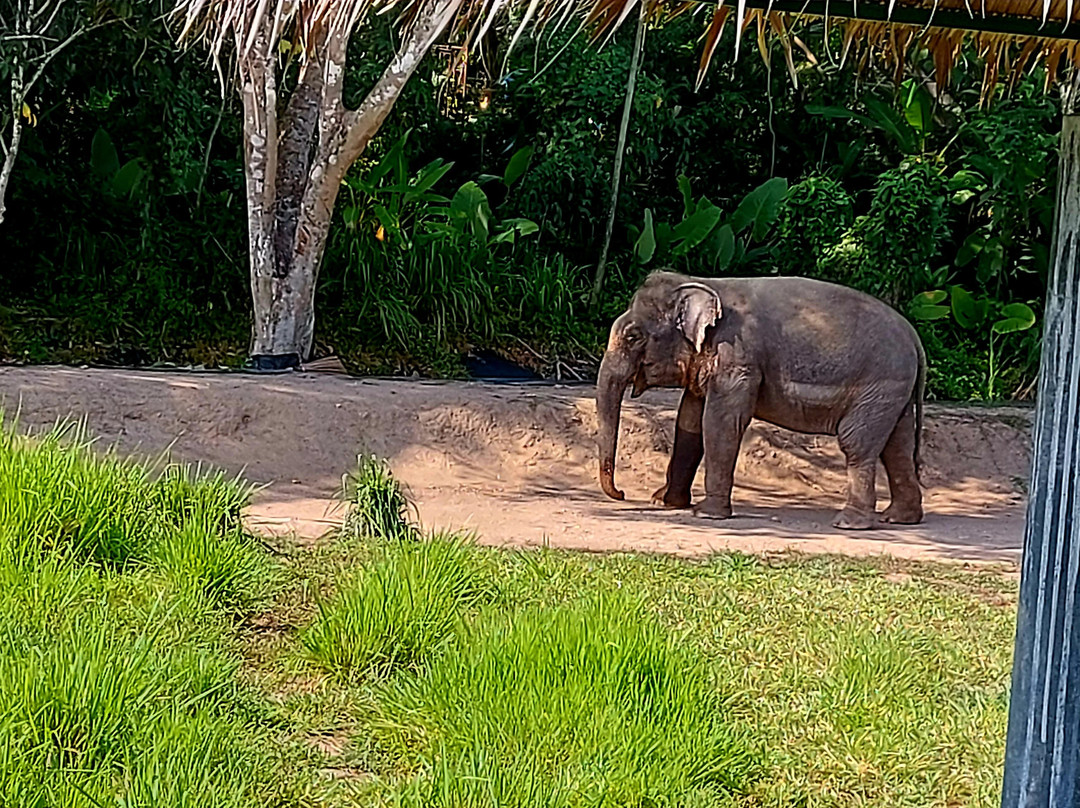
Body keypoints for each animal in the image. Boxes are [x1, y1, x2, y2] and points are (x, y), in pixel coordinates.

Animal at [596, 270, 926, 530]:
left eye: (633, 336)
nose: (622, 494)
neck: (702, 282)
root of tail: (914, 336)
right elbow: (689, 423)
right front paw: (666, 502)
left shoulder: (738, 358)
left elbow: (720, 423)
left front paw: (707, 514)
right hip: (894, 390)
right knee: (897, 446)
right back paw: (899, 518)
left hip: (881, 382)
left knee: (857, 443)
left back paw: (849, 523)